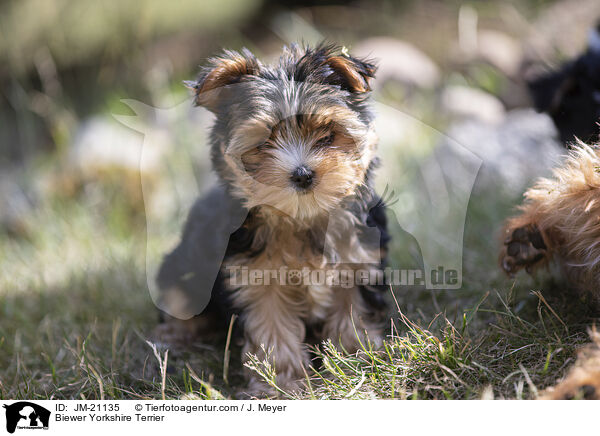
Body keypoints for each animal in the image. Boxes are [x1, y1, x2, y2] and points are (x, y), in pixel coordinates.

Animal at [155, 43, 390, 396]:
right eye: (264, 142)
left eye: (327, 135)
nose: (303, 174)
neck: (301, 217)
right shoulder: (255, 278)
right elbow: (272, 329)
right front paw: (282, 384)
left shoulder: (358, 261)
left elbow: (352, 312)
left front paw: (356, 360)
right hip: (183, 266)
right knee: (178, 299)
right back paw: (176, 336)